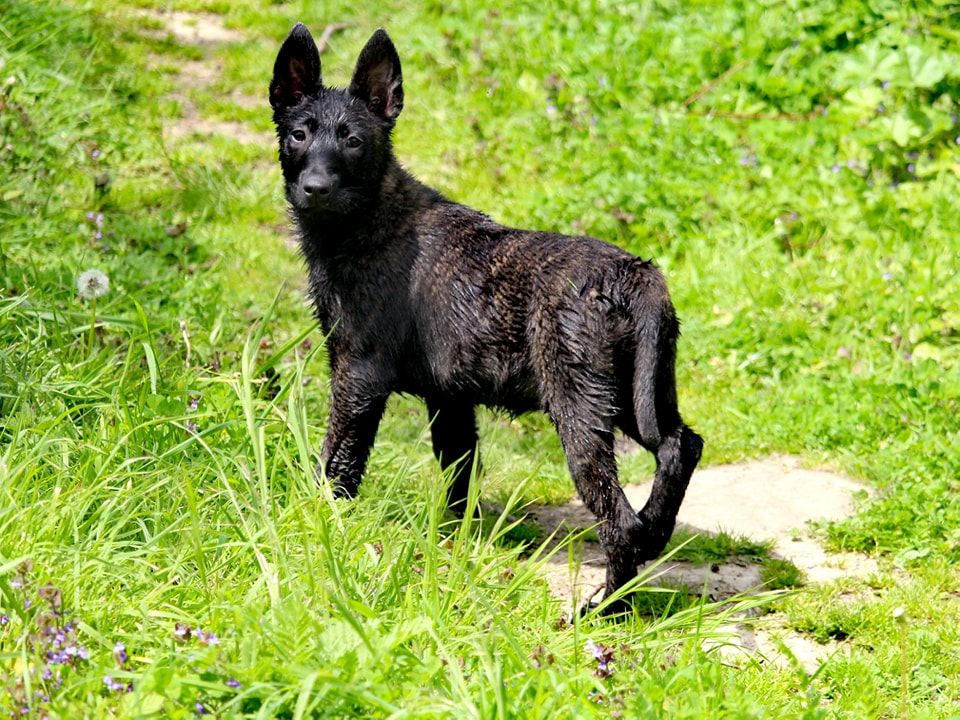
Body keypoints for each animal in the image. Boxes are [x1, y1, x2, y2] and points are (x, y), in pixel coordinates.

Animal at [270, 22, 704, 612]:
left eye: (353, 141)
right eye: (298, 134)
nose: (315, 189)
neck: (367, 219)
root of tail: (633, 277)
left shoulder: (358, 376)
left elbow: (339, 462)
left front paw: (323, 524)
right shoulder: (449, 398)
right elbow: (459, 480)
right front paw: (452, 553)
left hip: (579, 406)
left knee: (618, 518)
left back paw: (606, 610)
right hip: (640, 392)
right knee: (681, 445)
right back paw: (655, 535)